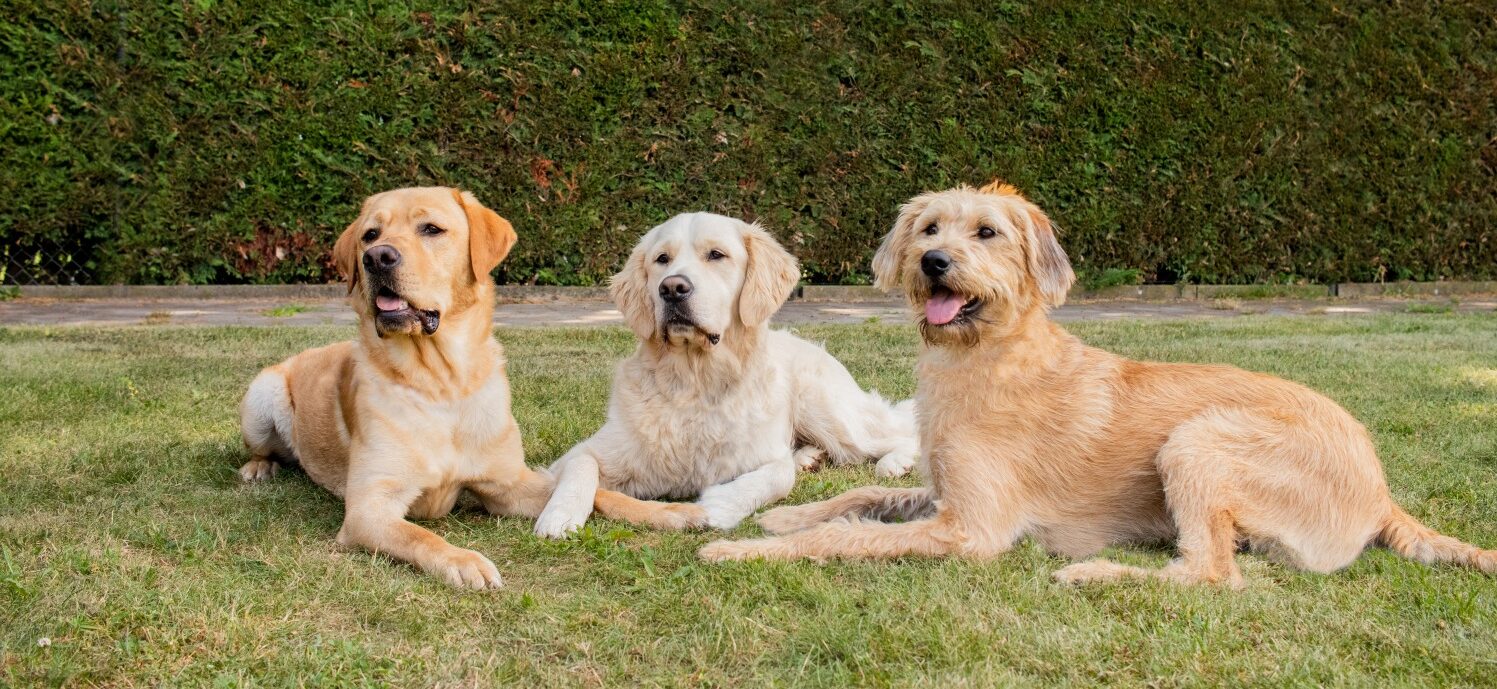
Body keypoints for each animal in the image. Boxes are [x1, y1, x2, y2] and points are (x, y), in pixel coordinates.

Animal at [239, 185, 550, 590]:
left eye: (431, 229)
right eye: (370, 235)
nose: (376, 257)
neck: (440, 384)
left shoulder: (508, 483)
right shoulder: (369, 508)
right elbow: (421, 536)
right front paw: (466, 561)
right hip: (262, 394)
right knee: (265, 449)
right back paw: (258, 468)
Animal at [532, 212, 916, 536]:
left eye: (716, 255)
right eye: (662, 259)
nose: (672, 288)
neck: (696, 383)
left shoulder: (764, 456)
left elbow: (776, 476)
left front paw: (721, 504)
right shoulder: (589, 451)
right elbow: (579, 466)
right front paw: (559, 514)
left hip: (828, 413)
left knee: (896, 434)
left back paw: (896, 461)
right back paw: (810, 456)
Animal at [700, 180, 1497, 584]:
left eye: (987, 232)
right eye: (929, 228)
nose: (933, 263)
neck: (987, 356)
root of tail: (1380, 491)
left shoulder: (973, 528)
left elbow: (849, 538)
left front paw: (745, 549)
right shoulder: (944, 489)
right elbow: (862, 498)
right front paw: (788, 515)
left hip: (1197, 443)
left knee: (1208, 575)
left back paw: (1098, 572)